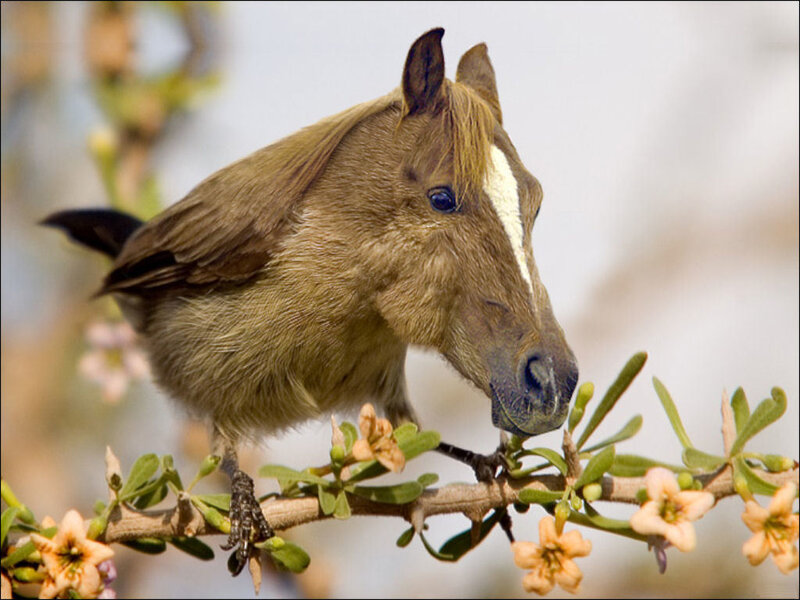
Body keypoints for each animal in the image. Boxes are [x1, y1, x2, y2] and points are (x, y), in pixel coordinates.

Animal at [44, 28, 579, 573]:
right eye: (442, 199)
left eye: (535, 204)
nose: (551, 378)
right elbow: (229, 456)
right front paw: (242, 502)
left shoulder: (386, 382)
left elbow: (423, 433)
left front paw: (484, 462)